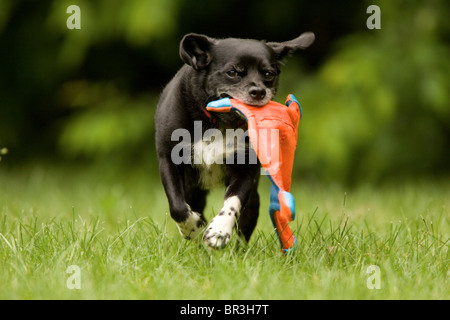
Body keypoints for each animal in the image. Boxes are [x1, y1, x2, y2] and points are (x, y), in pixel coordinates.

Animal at [156, 32, 314, 249]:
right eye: (232, 72)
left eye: (268, 74)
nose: (258, 91)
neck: (218, 121)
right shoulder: (169, 159)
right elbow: (178, 207)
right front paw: (194, 229)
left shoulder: (245, 168)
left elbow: (234, 201)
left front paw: (219, 231)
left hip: (252, 199)